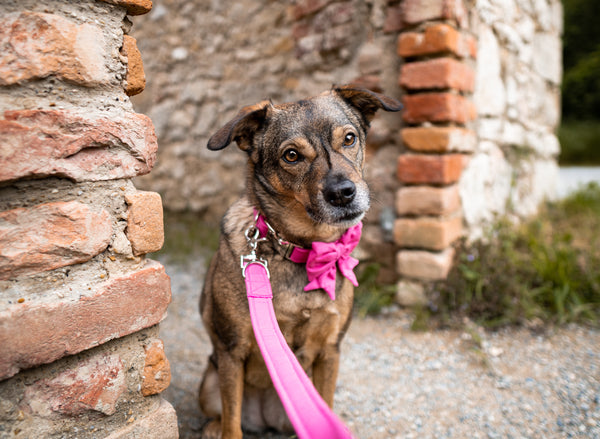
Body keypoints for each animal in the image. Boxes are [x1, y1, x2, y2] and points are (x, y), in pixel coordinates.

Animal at [199, 84, 400, 438]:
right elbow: (232, 425)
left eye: (349, 138)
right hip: (210, 382)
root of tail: (265, 417)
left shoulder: (329, 351)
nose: (343, 193)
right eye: (291, 156)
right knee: (223, 416)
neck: (303, 250)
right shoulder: (232, 351)